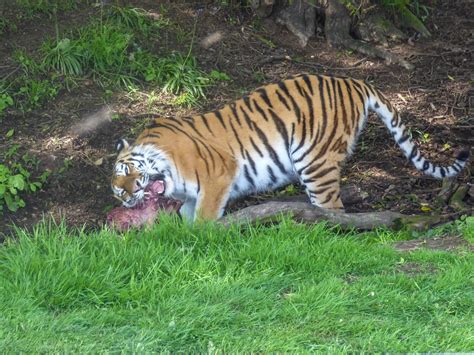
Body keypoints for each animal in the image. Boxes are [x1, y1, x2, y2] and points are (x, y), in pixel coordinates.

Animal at [111, 73, 470, 221]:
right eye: (117, 190)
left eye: (128, 170)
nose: (127, 196)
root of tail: (354, 81)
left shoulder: (218, 176)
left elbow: (204, 218)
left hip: (315, 162)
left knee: (334, 211)